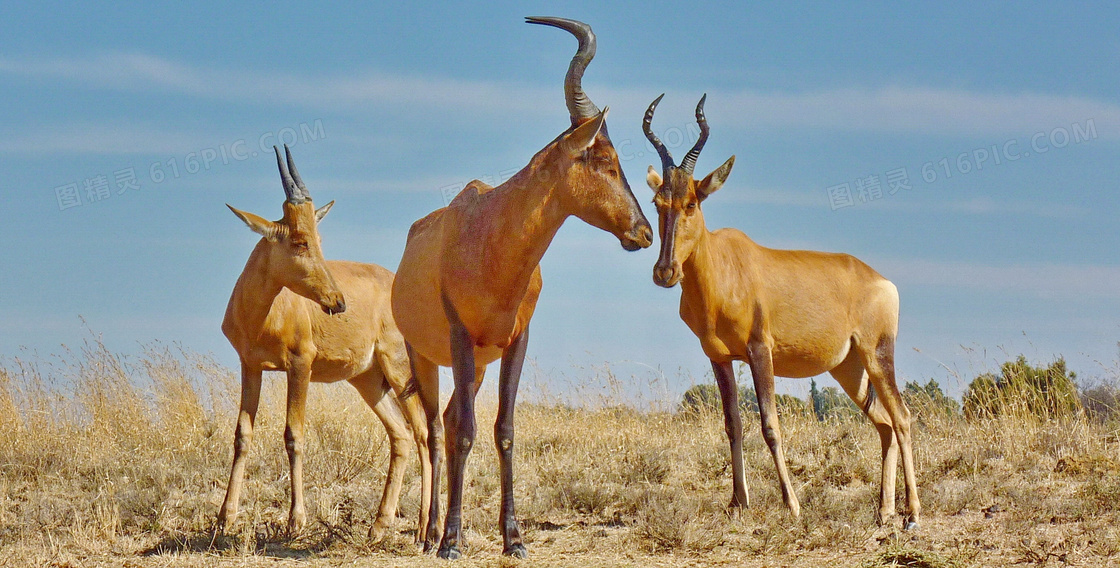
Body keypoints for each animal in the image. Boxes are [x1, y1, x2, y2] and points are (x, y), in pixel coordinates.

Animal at [217, 144, 432, 539]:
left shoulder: (300, 365)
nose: (338, 302)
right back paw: (379, 525)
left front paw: (296, 520)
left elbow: (294, 434)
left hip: (398, 368)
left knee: (423, 431)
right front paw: (225, 517)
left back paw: (426, 527)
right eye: (299, 241)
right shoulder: (250, 366)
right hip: (368, 380)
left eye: (319, 239)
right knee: (401, 435)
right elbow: (242, 434)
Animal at [394, 15, 654, 557]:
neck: (490, 231)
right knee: (434, 429)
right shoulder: (460, 338)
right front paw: (452, 542)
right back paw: (430, 534)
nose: (643, 232)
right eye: (605, 160)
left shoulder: (517, 342)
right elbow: (466, 433)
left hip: (477, 366)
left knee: (450, 419)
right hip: (424, 355)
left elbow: (503, 430)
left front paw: (512, 537)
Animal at [645, 96, 922, 528]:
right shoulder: (718, 358)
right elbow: (733, 424)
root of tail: (882, 281)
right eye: (657, 202)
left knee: (904, 417)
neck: (725, 266)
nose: (665, 272)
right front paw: (737, 503)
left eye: (692, 202)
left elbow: (770, 425)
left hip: (878, 354)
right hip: (849, 368)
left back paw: (913, 514)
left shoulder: (761, 351)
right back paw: (884, 510)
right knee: (884, 422)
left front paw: (791, 504)